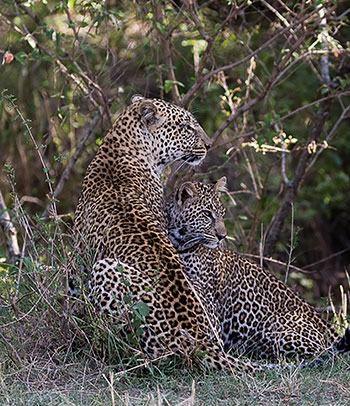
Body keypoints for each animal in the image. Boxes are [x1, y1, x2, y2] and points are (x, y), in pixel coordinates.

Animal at [167, 178, 350, 362]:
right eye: (206, 214)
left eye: (222, 213)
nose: (222, 236)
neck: (181, 243)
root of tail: (326, 326)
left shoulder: (208, 304)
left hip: (276, 328)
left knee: (318, 355)